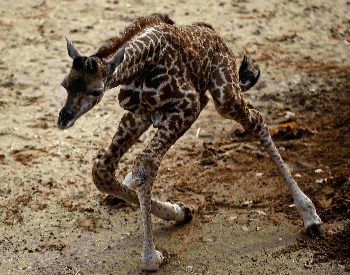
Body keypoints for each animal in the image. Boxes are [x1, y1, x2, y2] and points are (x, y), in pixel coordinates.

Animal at [57, 14, 322, 272]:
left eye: (96, 91)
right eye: (64, 84)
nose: (64, 118)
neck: (143, 63)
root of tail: (212, 31)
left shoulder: (188, 106)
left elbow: (145, 164)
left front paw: (151, 257)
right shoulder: (139, 113)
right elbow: (102, 171)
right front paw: (179, 212)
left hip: (225, 96)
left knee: (256, 120)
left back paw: (311, 218)